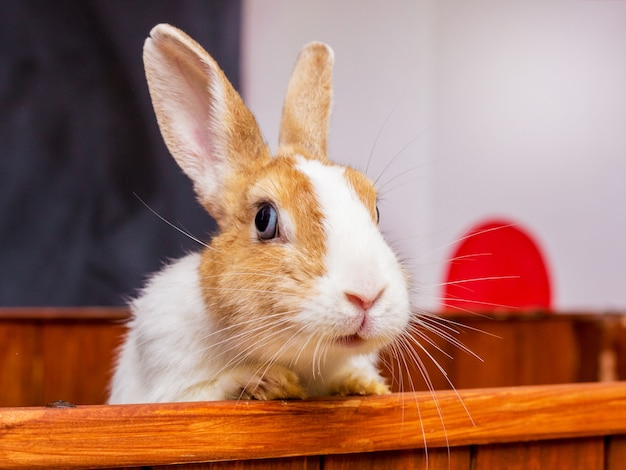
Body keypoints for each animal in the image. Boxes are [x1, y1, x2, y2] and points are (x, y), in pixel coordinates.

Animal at [107, 23, 410, 404]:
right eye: (265, 219)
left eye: (376, 210)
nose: (367, 294)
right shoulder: (167, 391)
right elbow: (209, 389)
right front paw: (266, 382)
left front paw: (364, 385)